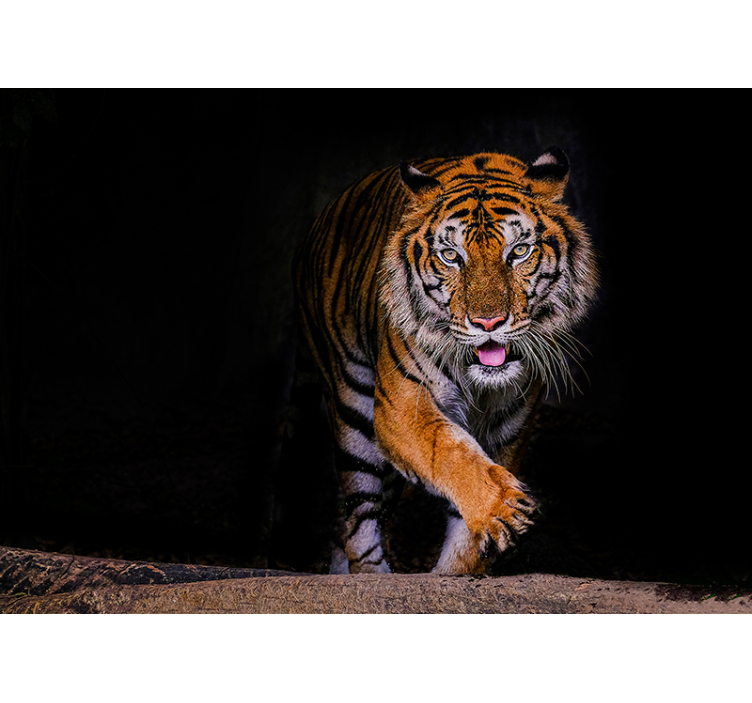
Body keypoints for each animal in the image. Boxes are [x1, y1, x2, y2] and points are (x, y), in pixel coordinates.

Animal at [293, 148, 598, 575]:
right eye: (451, 256)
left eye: (519, 251)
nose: (488, 323)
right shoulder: (401, 405)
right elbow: (453, 453)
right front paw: (504, 511)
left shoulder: (511, 423)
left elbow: (467, 522)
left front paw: (459, 568)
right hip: (354, 410)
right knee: (359, 517)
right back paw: (370, 575)